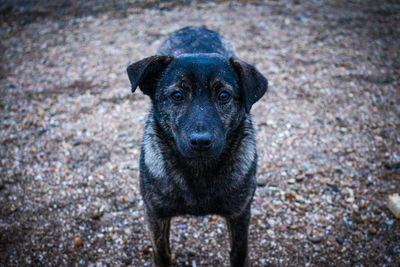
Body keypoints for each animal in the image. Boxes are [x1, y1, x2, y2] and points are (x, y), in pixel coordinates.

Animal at [126, 25, 268, 267]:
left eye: (223, 95)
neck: (199, 171)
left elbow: (238, 253)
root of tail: (196, 27)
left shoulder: (240, 215)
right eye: (177, 95)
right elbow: (162, 253)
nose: (200, 141)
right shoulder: (156, 215)